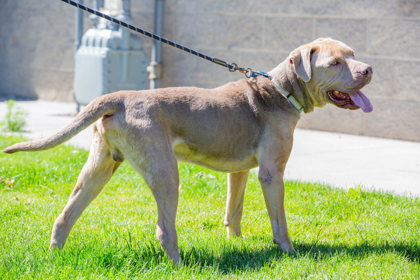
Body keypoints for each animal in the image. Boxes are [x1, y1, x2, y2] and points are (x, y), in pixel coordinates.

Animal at [2, 38, 370, 264]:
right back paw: (179, 264)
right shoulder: (271, 172)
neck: (282, 90)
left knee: (65, 215)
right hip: (166, 171)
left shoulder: (240, 170)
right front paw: (289, 250)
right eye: (336, 62)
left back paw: (55, 256)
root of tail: (118, 97)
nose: (369, 70)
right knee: (165, 228)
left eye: (353, 54)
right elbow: (279, 219)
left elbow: (234, 210)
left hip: (99, 166)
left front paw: (235, 241)